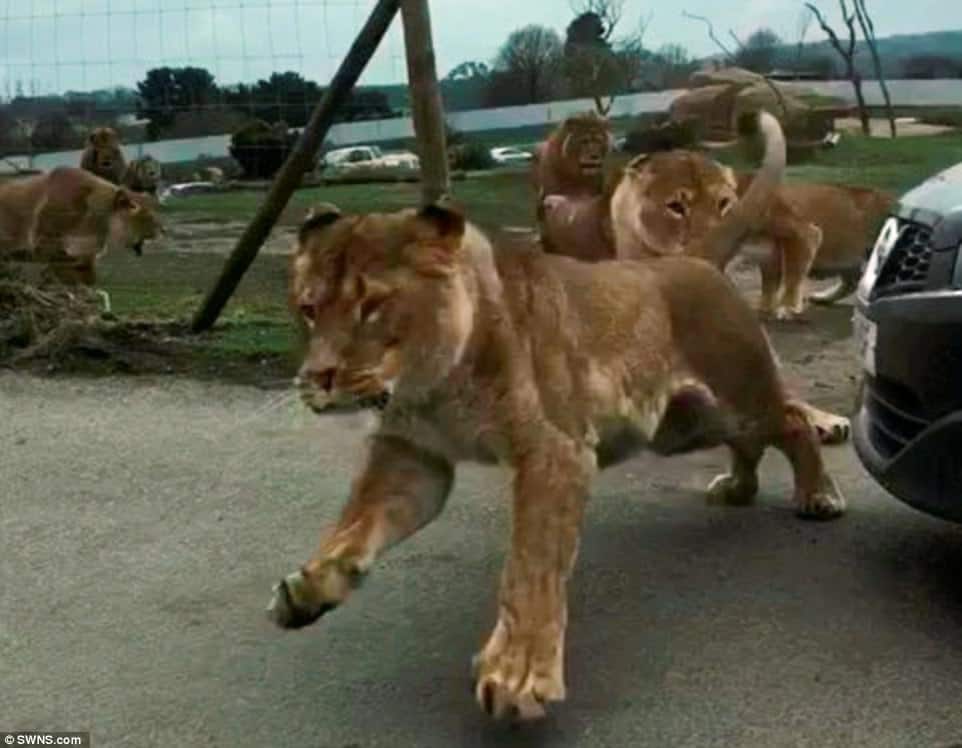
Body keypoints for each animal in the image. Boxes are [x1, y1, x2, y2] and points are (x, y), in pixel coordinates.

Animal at [0, 166, 162, 293]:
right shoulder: (44, 244)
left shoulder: (85, 254)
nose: (162, 230)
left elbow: (87, 275)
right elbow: (63, 265)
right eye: (149, 216)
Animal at [266, 199, 845, 723]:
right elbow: (356, 523)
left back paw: (818, 494)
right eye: (309, 310)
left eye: (372, 305)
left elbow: (531, 565)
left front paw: (517, 674)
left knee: (792, 420)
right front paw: (309, 589)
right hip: (686, 426)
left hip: (739, 398)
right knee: (753, 439)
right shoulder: (416, 456)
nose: (317, 379)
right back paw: (740, 487)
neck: (430, 386)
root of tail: (694, 260)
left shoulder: (553, 450)